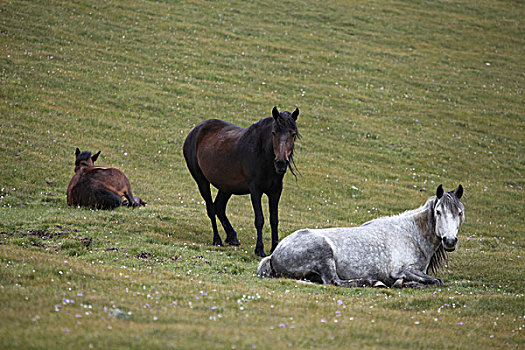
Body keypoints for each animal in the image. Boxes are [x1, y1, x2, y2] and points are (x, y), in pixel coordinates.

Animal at [183, 106, 298, 258]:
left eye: (293, 134)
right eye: (274, 133)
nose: (280, 163)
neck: (262, 153)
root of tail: (195, 131)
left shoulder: (275, 191)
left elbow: (274, 219)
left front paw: (274, 248)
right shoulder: (255, 190)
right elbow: (259, 219)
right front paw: (259, 249)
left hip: (226, 187)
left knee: (219, 207)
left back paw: (232, 237)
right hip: (202, 181)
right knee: (211, 209)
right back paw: (217, 239)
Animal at [258, 185, 462, 288]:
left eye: (460, 213)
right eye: (438, 212)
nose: (450, 241)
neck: (411, 234)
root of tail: (274, 254)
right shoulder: (401, 269)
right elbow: (434, 281)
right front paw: (402, 283)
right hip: (324, 254)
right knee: (334, 281)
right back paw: (373, 282)